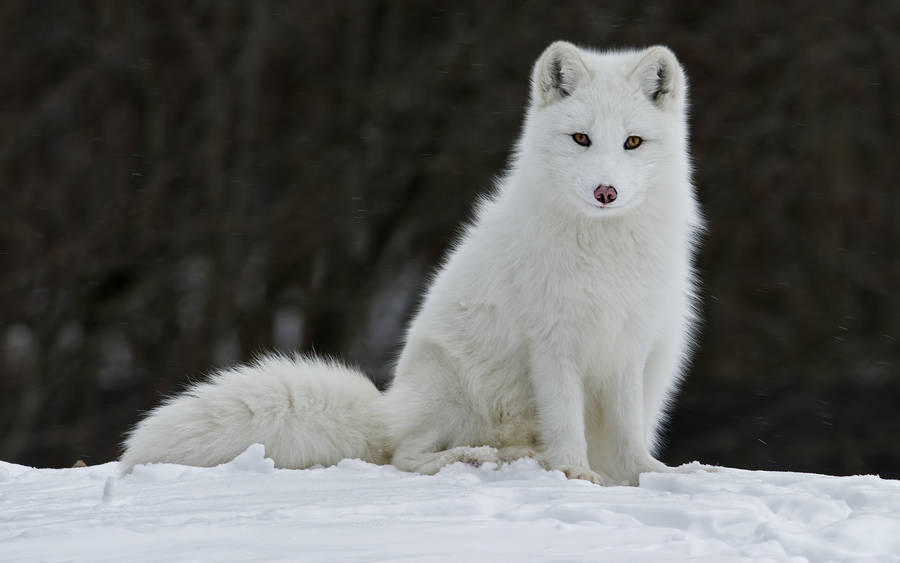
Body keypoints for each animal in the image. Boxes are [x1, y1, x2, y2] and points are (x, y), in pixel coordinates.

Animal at [121, 41, 704, 486]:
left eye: (632, 141)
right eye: (581, 138)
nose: (606, 192)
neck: (604, 251)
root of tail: (388, 407)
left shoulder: (628, 345)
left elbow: (627, 433)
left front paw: (647, 476)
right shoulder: (554, 344)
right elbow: (566, 423)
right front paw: (576, 474)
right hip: (451, 384)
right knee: (406, 455)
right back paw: (484, 457)